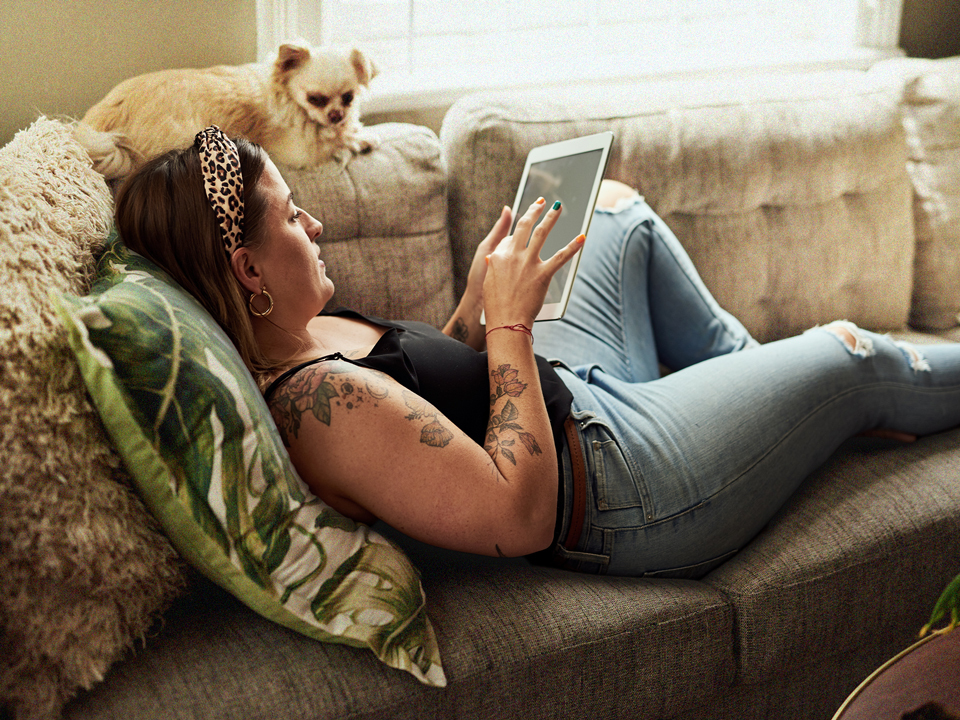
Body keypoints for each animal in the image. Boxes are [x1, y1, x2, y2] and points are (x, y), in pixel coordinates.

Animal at [75, 41, 378, 180]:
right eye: (315, 99)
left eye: (348, 97)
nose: (336, 115)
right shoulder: (299, 151)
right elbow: (330, 141)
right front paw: (357, 140)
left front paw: (356, 134)